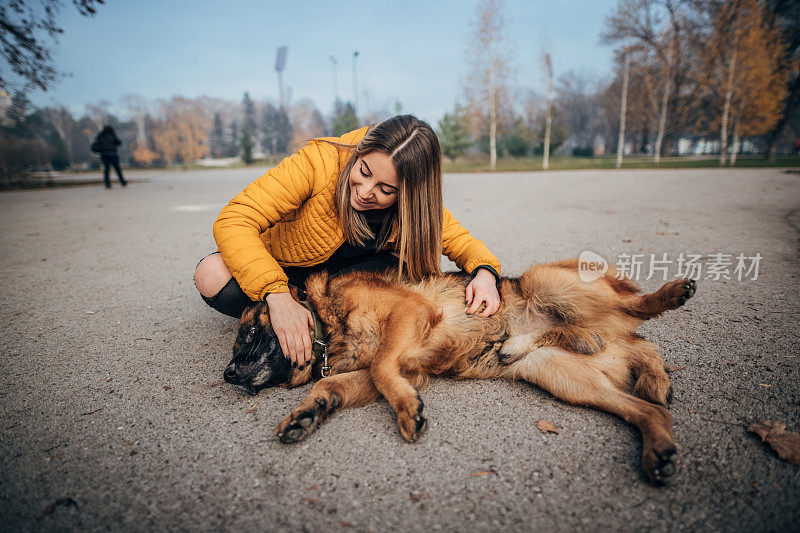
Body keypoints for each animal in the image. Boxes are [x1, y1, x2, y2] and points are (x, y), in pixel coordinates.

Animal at [223, 258, 692, 482]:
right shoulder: (398, 368)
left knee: (635, 311)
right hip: (561, 376)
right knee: (646, 383)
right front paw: (307, 413)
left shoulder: (407, 316)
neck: (326, 325)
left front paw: (408, 412)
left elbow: (381, 370)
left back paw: (671, 294)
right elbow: (336, 385)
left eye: (248, 334)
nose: (227, 375)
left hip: (549, 284)